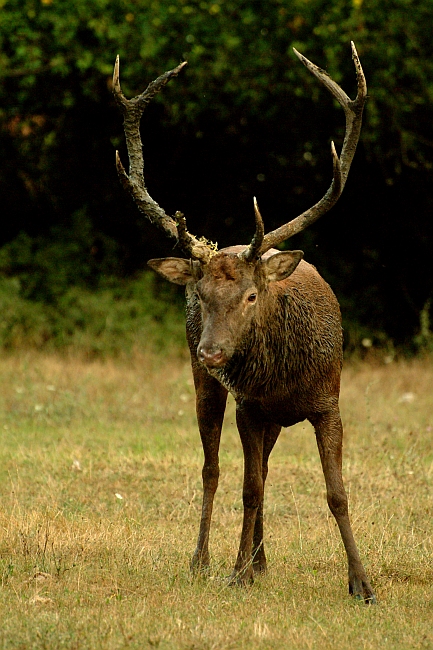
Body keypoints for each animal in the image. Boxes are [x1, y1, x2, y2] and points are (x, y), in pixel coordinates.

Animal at [111, 41, 374, 604]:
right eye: (203, 294)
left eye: (253, 294)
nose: (212, 352)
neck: (285, 379)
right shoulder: (249, 407)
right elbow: (248, 488)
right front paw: (236, 572)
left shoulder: (329, 402)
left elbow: (336, 492)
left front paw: (361, 583)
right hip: (209, 388)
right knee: (213, 469)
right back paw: (207, 560)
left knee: (266, 470)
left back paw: (262, 560)